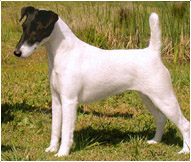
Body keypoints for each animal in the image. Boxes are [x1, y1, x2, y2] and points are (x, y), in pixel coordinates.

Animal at [13, 6, 190, 157]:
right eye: (24, 27)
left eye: (37, 29)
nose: (17, 53)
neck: (64, 53)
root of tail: (153, 52)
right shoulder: (56, 100)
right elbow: (55, 129)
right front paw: (52, 149)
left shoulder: (69, 101)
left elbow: (66, 130)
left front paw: (62, 153)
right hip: (149, 98)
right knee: (161, 119)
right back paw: (155, 141)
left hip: (164, 98)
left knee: (184, 124)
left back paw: (185, 151)